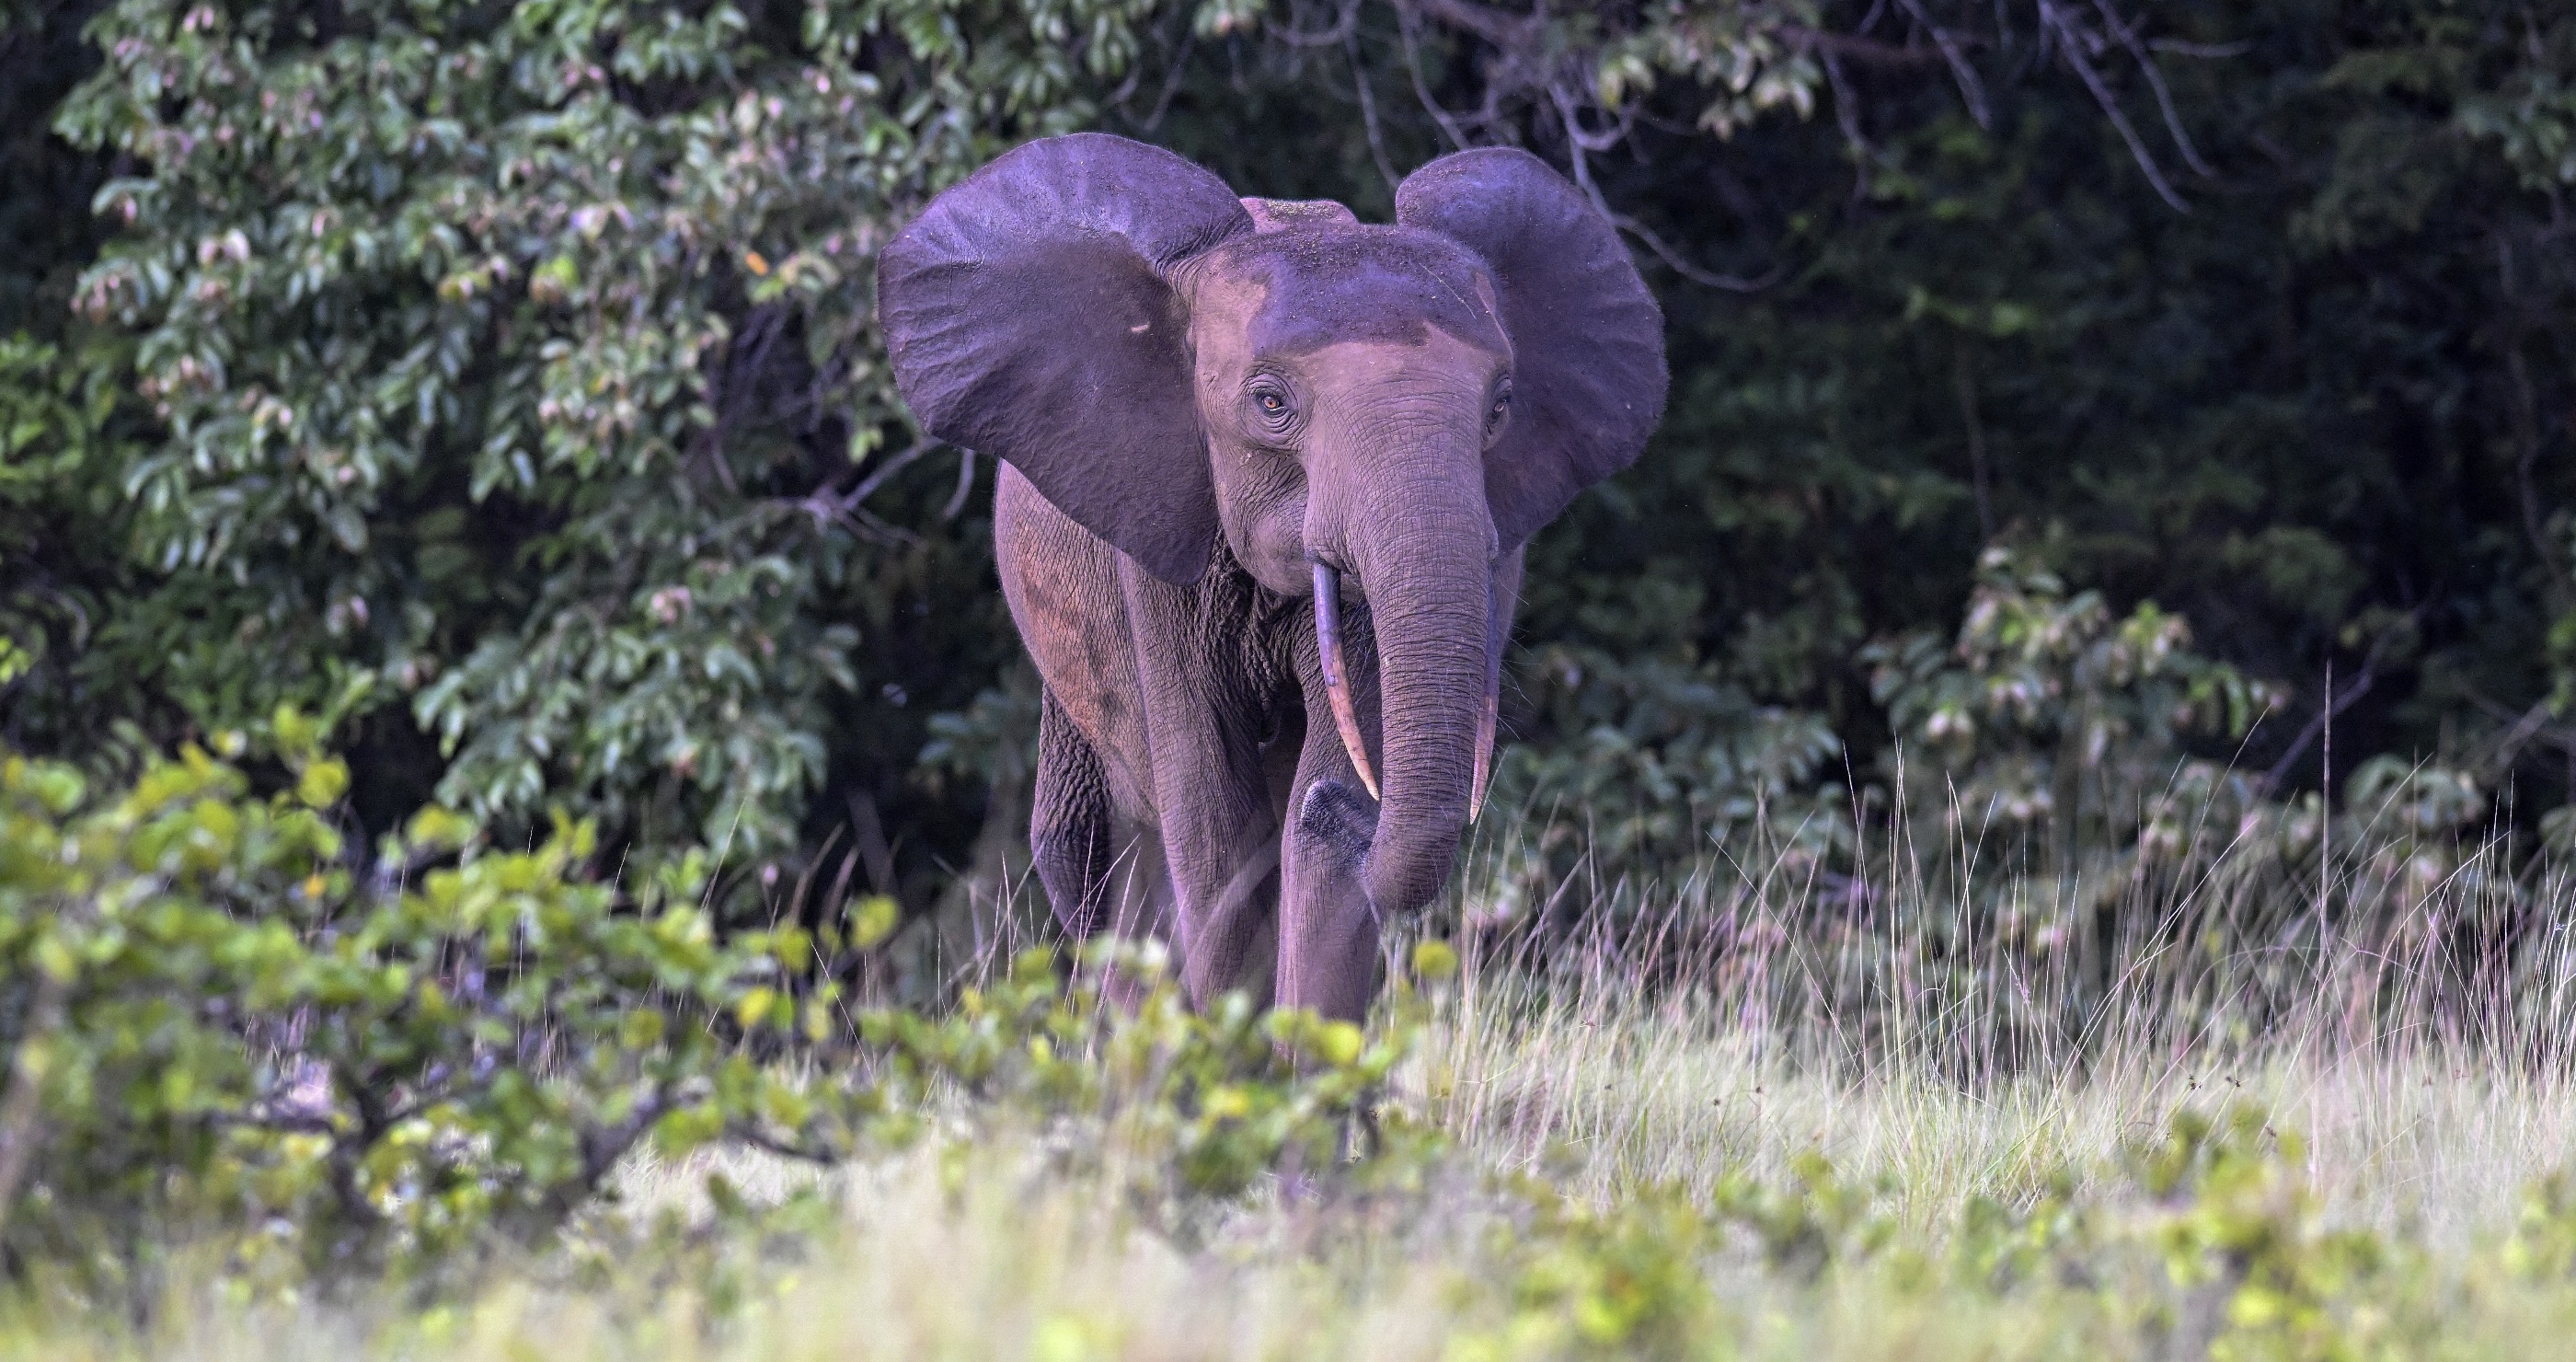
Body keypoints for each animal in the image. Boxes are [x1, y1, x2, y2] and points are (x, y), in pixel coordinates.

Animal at [878, 133, 1665, 1020]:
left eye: (1500, 408)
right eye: (1270, 403)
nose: (1346, 810)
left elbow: (1312, 846)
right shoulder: (1156, 539)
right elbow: (1215, 822)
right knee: (1091, 854)